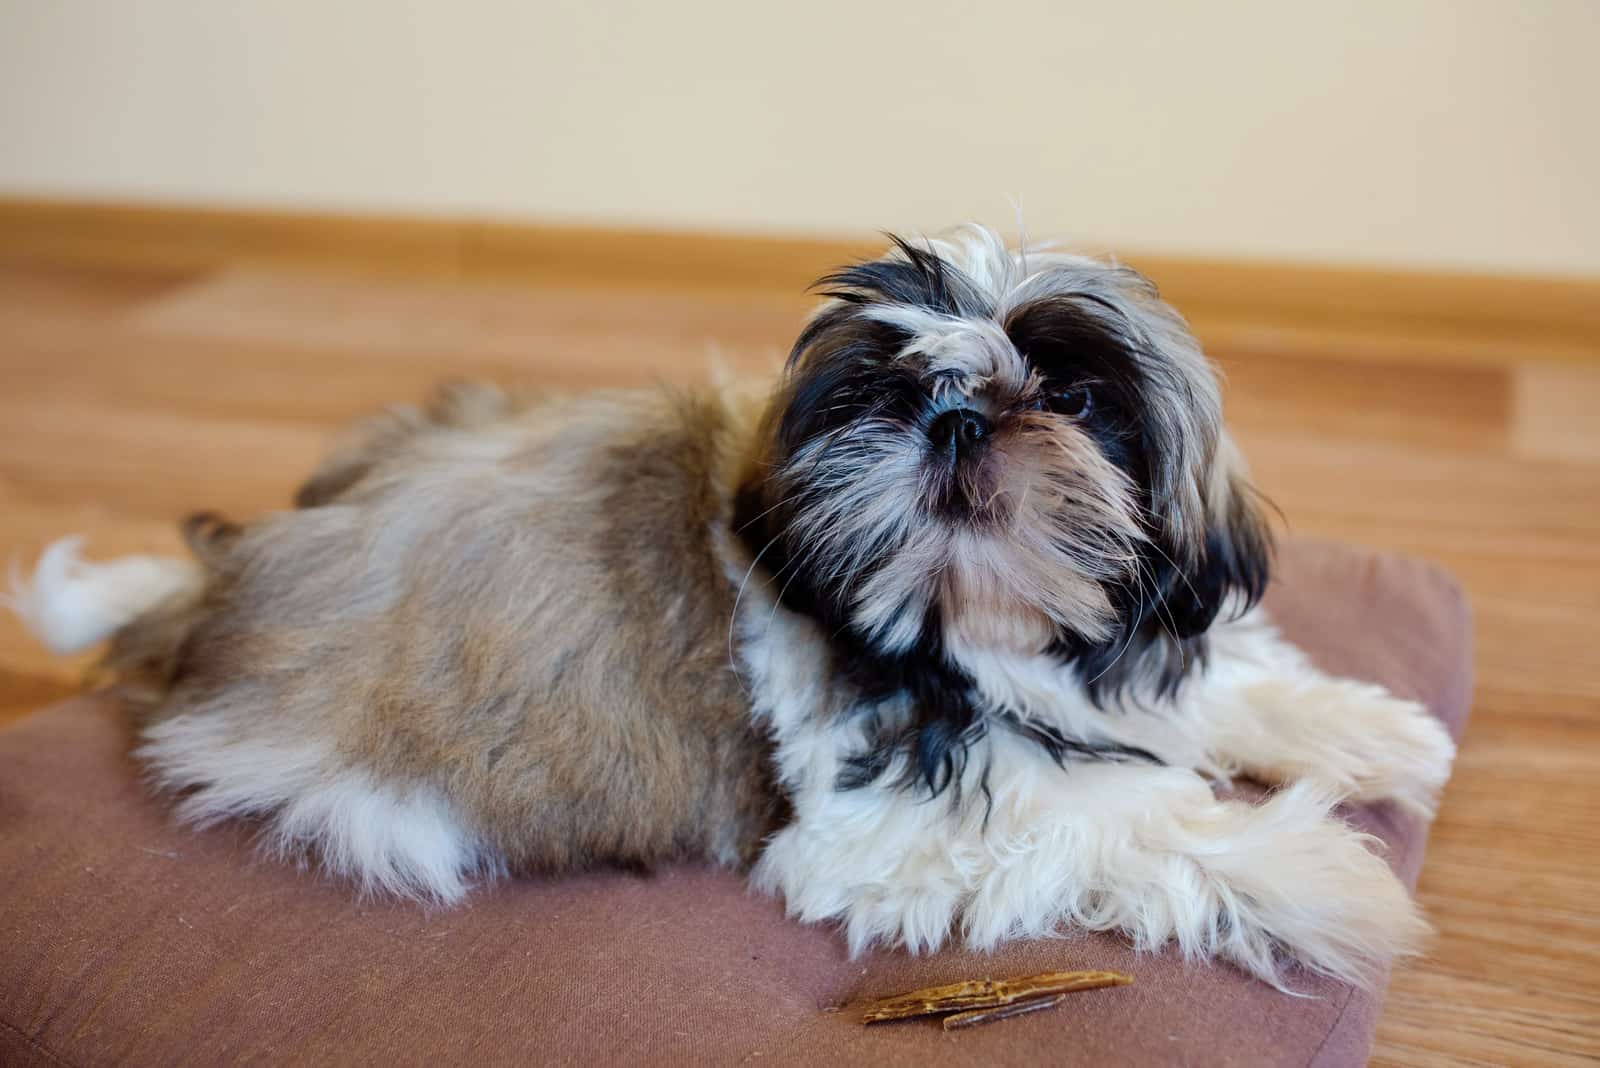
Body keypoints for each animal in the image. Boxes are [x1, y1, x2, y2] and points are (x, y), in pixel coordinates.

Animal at [12, 227, 1459, 991]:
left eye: (1075, 394)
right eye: (877, 391)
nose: (955, 412)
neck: (974, 633)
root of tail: (218, 592)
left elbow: (1216, 684)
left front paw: (1366, 733)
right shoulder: (884, 831)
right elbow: (1126, 823)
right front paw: (1324, 877)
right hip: (375, 799)